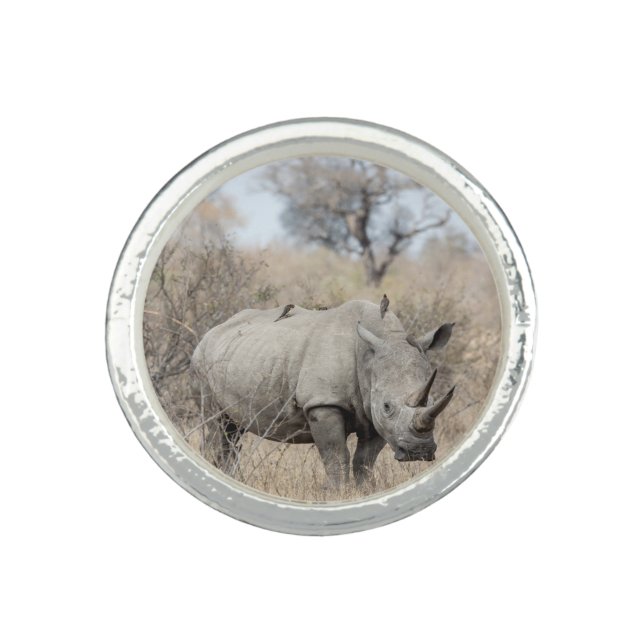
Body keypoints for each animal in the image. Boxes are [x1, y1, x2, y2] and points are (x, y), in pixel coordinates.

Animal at [191, 300, 455, 487]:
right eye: (387, 406)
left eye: (434, 400)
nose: (418, 452)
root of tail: (211, 332)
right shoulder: (323, 403)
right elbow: (336, 456)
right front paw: (338, 493)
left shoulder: (373, 412)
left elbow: (364, 462)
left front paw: (365, 492)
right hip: (202, 363)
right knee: (218, 426)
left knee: (233, 432)